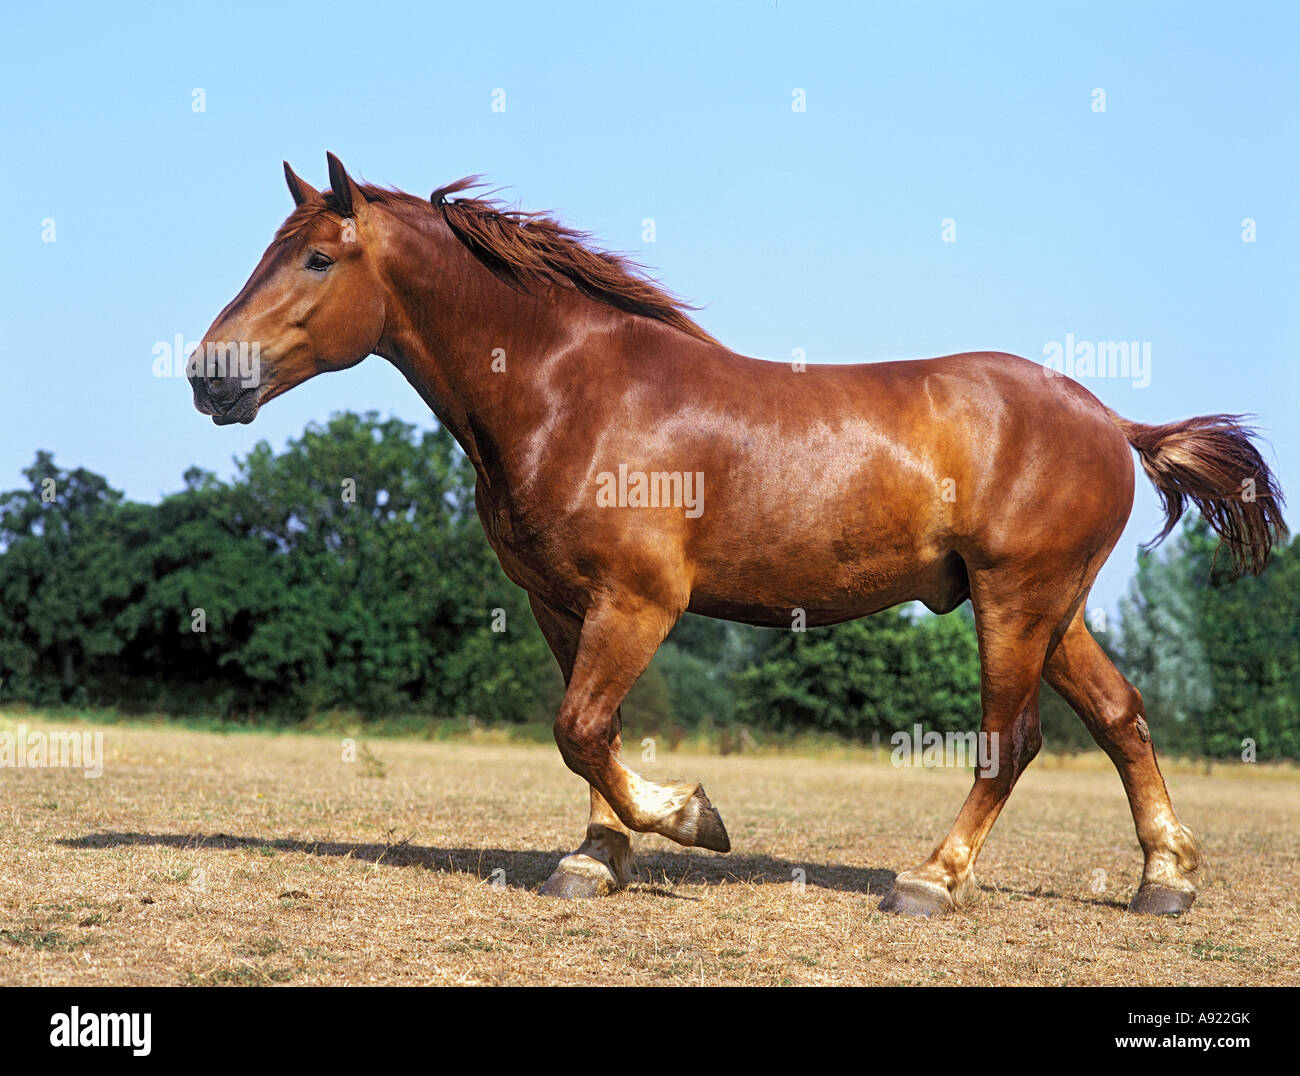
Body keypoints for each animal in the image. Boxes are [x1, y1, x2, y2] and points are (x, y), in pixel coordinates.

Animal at [188, 155, 1284, 914]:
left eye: (318, 257)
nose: (208, 374)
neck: (572, 391)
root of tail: (1115, 423)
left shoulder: (640, 601)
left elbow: (581, 727)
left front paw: (690, 818)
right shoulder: (562, 603)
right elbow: (589, 734)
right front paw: (595, 858)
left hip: (1016, 601)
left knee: (1008, 741)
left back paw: (929, 880)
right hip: (1053, 608)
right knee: (1122, 717)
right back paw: (1164, 881)